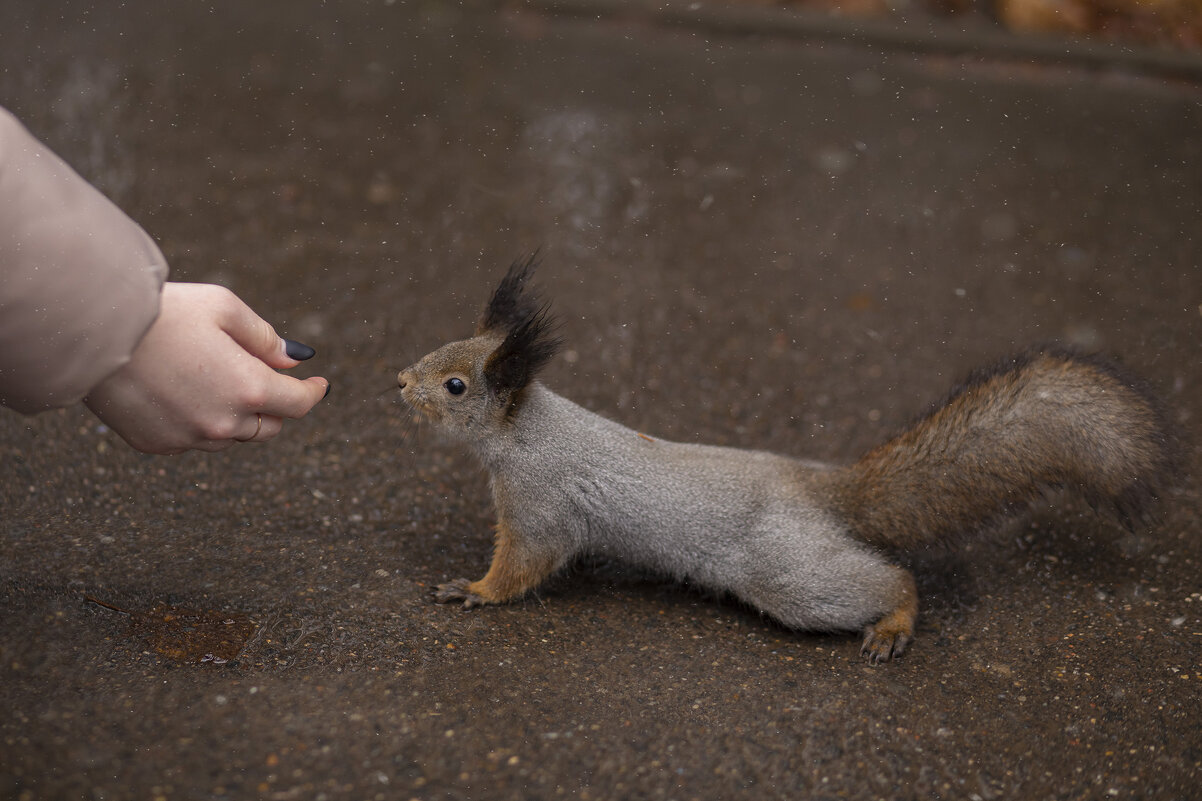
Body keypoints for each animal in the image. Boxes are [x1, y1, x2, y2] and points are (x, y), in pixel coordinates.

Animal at [394, 256, 1173, 659]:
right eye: (437, 350)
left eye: (456, 385)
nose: (399, 382)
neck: (528, 430)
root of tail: (827, 492)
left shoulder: (541, 502)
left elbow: (523, 564)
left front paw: (474, 589)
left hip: (791, 573)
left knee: (890, 580)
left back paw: (894, 624)